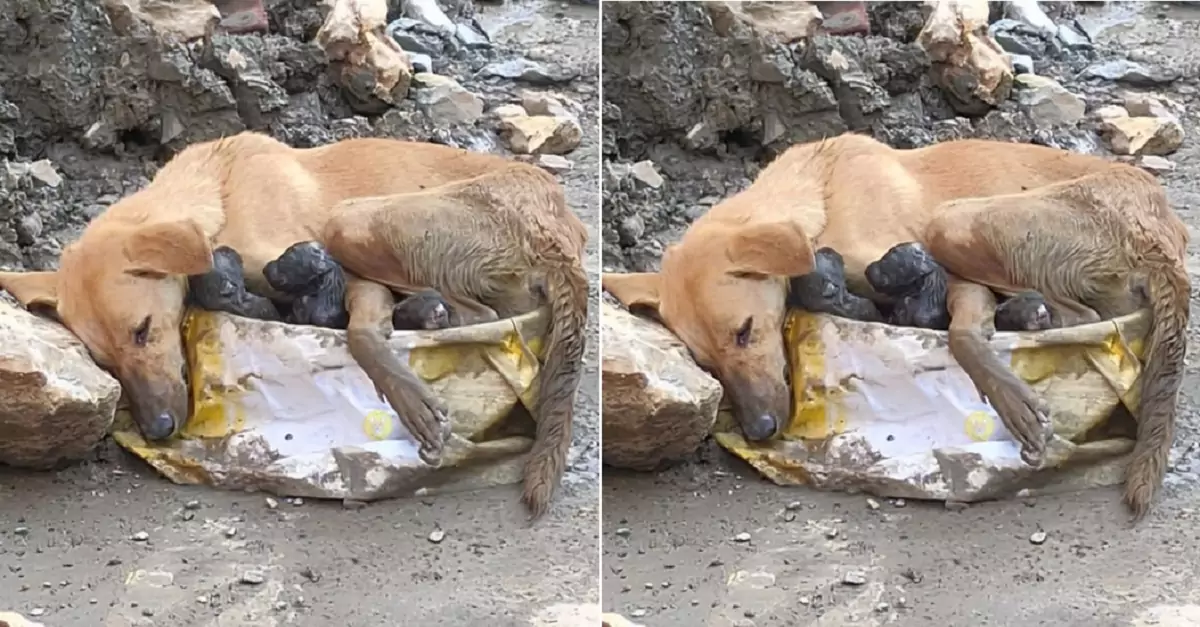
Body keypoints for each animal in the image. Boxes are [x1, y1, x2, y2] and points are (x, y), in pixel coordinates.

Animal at [0, 131, 590, 516]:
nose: (159, 431)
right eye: (106, 363)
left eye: (143, 330)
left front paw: (408, 397)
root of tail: (560, 228)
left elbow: (360, 333)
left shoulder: (347, 276)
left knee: (482, 315)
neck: (220, 195)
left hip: (353, 218)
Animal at [609, 133, 1190, 518]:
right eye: (707, 362)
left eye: (745, 331)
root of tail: (1161, 228)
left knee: (1083, 317)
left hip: (954, 221)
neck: (821, 198)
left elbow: (961, 334)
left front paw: (1010, 397)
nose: (760, 431)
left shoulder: (949, 277)